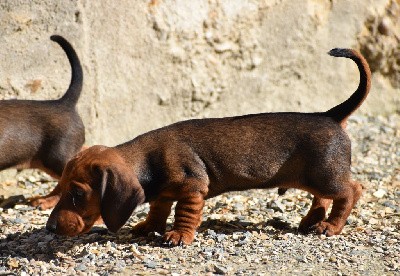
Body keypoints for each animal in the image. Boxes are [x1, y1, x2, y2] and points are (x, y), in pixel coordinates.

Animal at [47, 48, 372, 246]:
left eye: (77, 194)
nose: (49, 228)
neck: (146, 161)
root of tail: (330, 115)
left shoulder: (193, 189)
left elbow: (184, 214)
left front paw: (178, 235)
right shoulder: (163, 193)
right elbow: (158, 209)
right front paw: (148, 226)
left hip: (326, 175)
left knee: (350, 191)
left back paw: (331, 226)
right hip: (315, 177)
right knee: (323, 197)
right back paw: (311, 220)